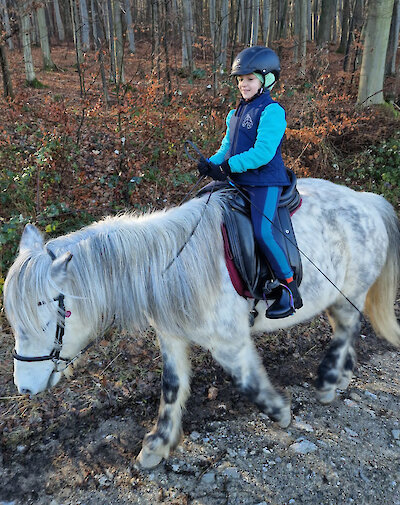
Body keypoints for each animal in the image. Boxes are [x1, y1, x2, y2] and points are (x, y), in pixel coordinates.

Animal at [3, 178, 400, 468]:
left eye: (53, 317)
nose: (24, 387)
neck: (171, 265)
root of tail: (367, 201)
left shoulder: (229, 343)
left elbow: (249, 383)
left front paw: (281, 412)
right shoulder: (171, 337)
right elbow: (172, 387)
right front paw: (157, 445)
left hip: (348, 293)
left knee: (346, 330)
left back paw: (330, 381)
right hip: (340, 297)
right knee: (349, 329)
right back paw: (344, 376)